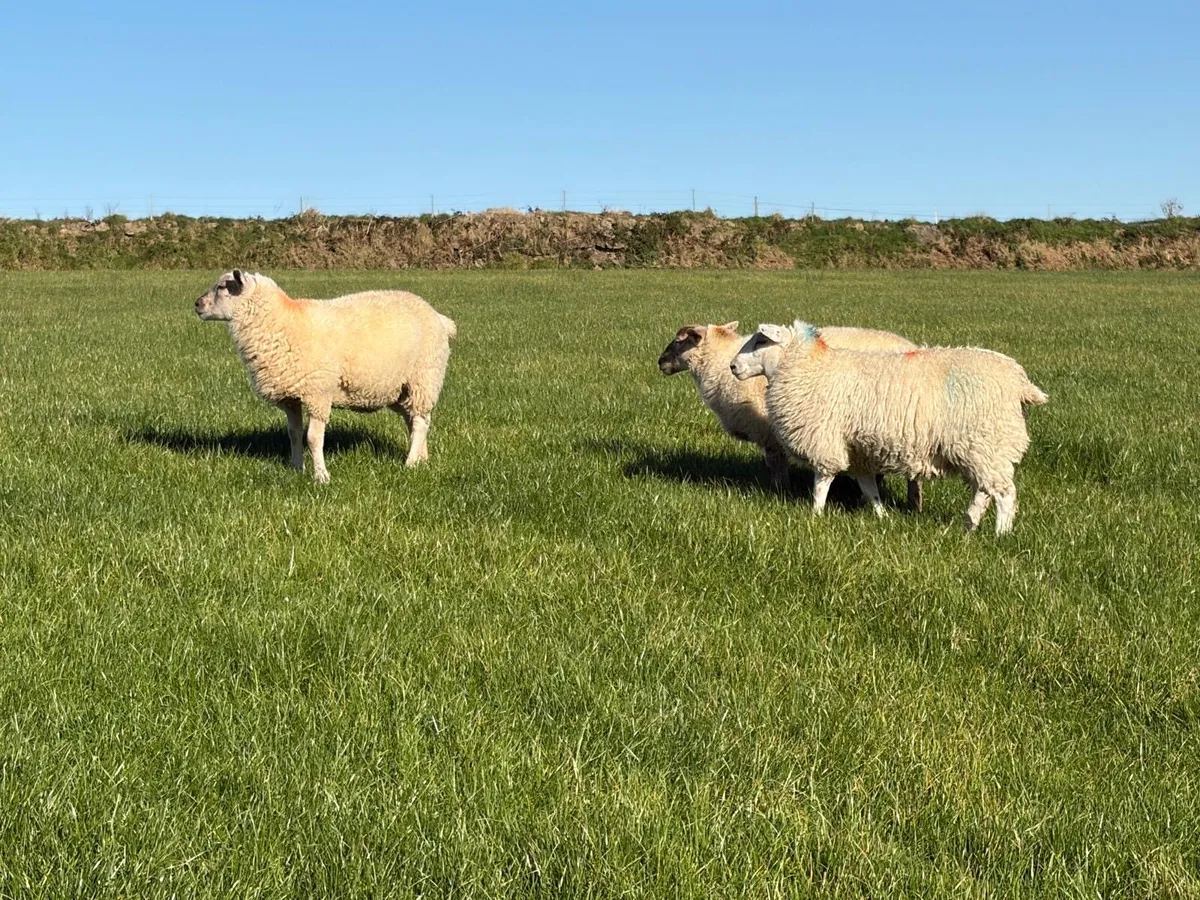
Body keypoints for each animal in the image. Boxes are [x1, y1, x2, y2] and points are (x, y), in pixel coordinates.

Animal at [194, 269, 456, 483]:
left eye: (223, 286)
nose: (196, 304)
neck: (285, 322)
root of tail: (440, 318)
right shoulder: (291, 397)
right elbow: (294, 434)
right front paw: (296, 468)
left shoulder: (318, 393)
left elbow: (312, 438)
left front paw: (321, 476)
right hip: (399, 389)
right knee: (417, 420)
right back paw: (422, 459)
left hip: (424, 378)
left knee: (420, 423)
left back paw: (410, 463)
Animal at [658, 321, 923, 507]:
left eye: (680, 341)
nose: (660, 362)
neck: (718, 366)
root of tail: (914, 347)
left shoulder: (770, 434)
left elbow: (776, 466)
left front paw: (779, 492)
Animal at [730, 321, 1047, 534]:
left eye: (760, 342)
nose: (733, 367)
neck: (809, 369)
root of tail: (1019, 381)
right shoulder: (858, 451)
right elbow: (869, 488)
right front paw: (882, 517)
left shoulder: (825, 440)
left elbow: (822, 482)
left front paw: (815, 516)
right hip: (982, 449)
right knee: (984, 490)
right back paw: (968, 525)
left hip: (986, 441)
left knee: (1004, 493)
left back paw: (1000, 534)